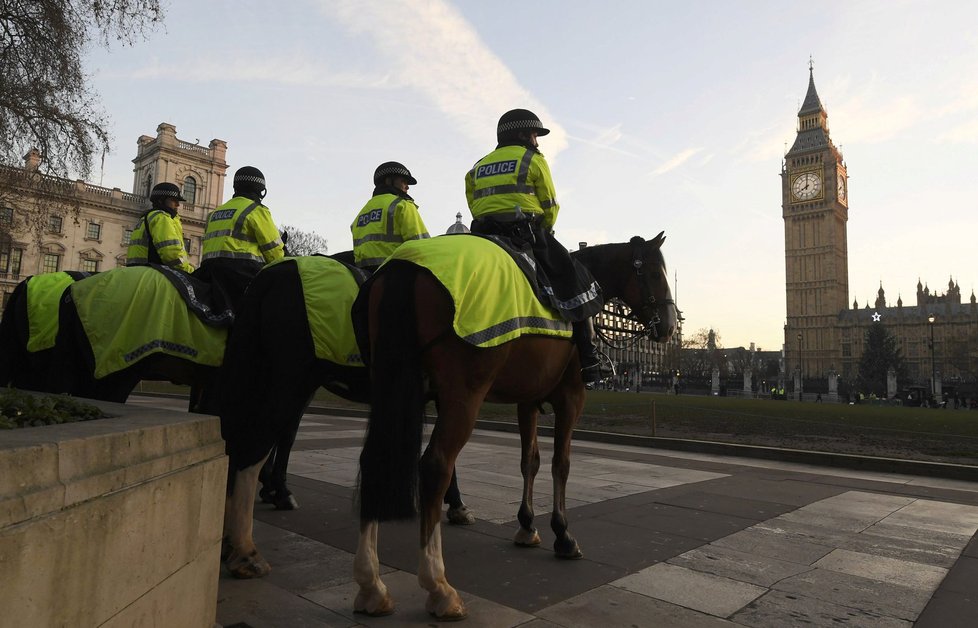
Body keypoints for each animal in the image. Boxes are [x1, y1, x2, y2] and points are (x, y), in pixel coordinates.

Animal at [354, 231, 676, 620]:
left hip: (395, 383)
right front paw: (562, 534)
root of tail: (405, 266)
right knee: (436, 466)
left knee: (375, 459)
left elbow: (530, 461)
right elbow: (561, 464)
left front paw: (526, 525)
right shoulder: (572, 398)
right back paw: (439, 587)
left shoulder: (527, 400)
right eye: (656, 273)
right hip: (464, 394)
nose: (670, 325)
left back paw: (372, 586)